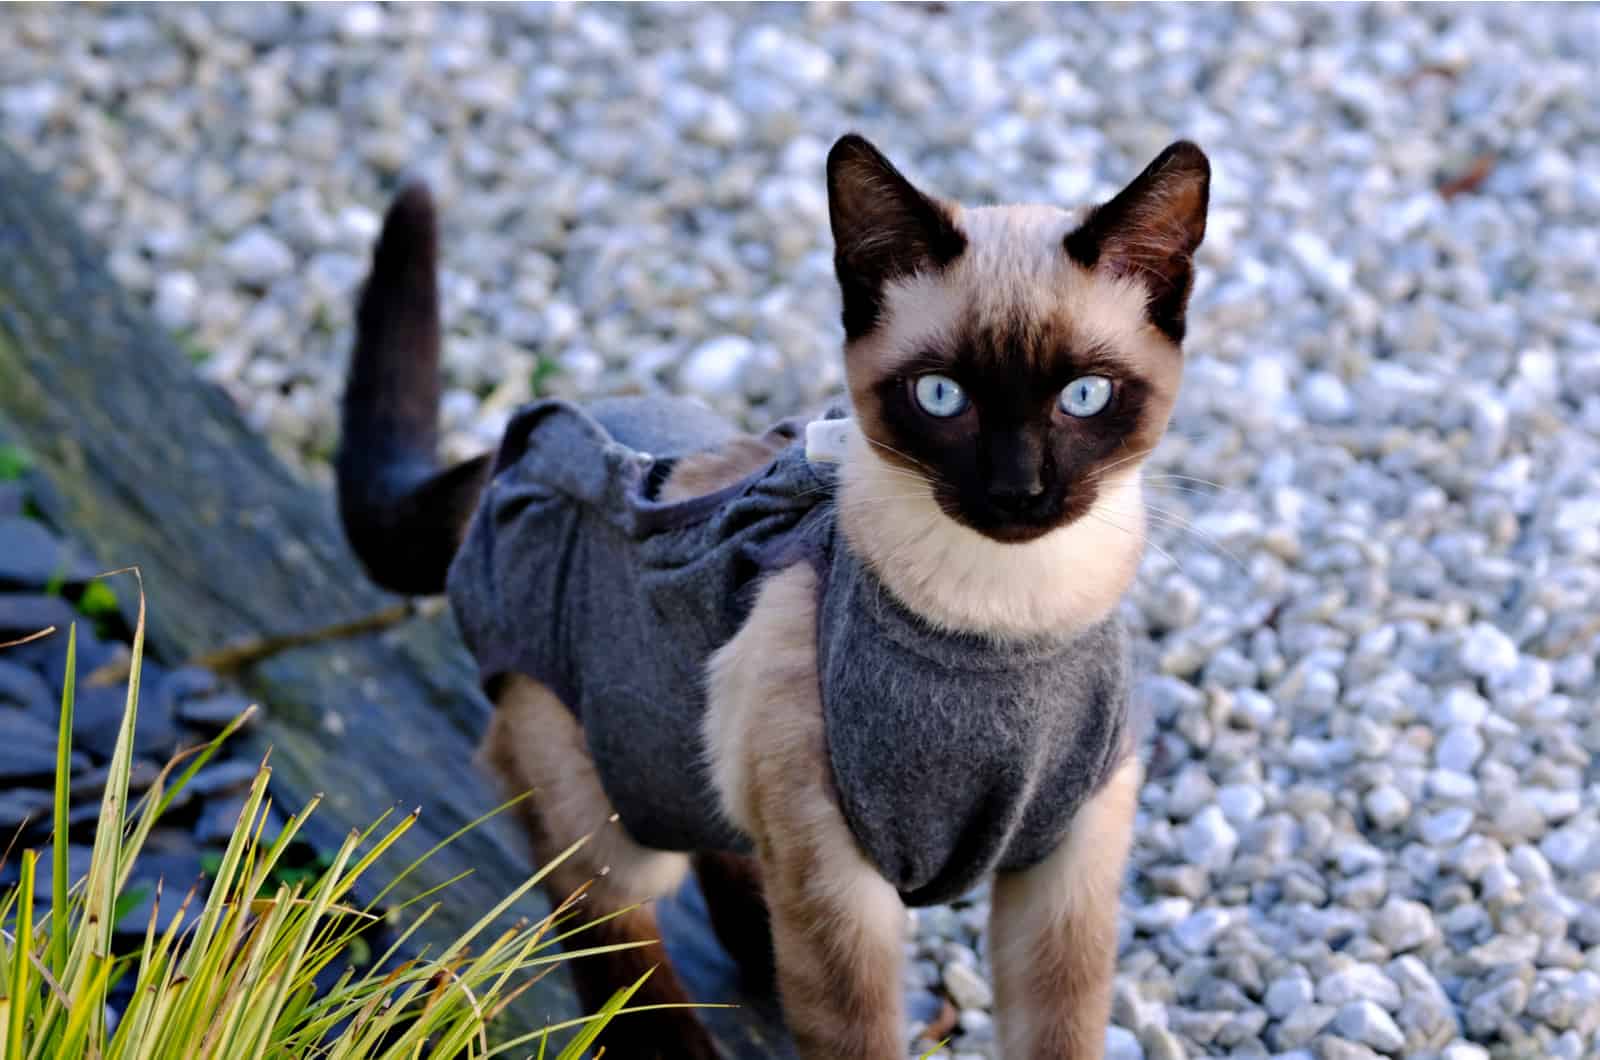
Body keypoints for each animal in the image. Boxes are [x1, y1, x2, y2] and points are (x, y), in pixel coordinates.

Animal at [340, 135, 1209, 1060]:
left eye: (1084, 396)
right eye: (943, 396)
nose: (1018, 492)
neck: (1006, 621)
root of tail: (529, 439)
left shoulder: (1065, 870)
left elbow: (1061, 1032)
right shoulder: (835, 877)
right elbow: (856, 1036)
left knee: (717, 837)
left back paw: (757, 951)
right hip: (590, 786)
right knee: (608, 914)